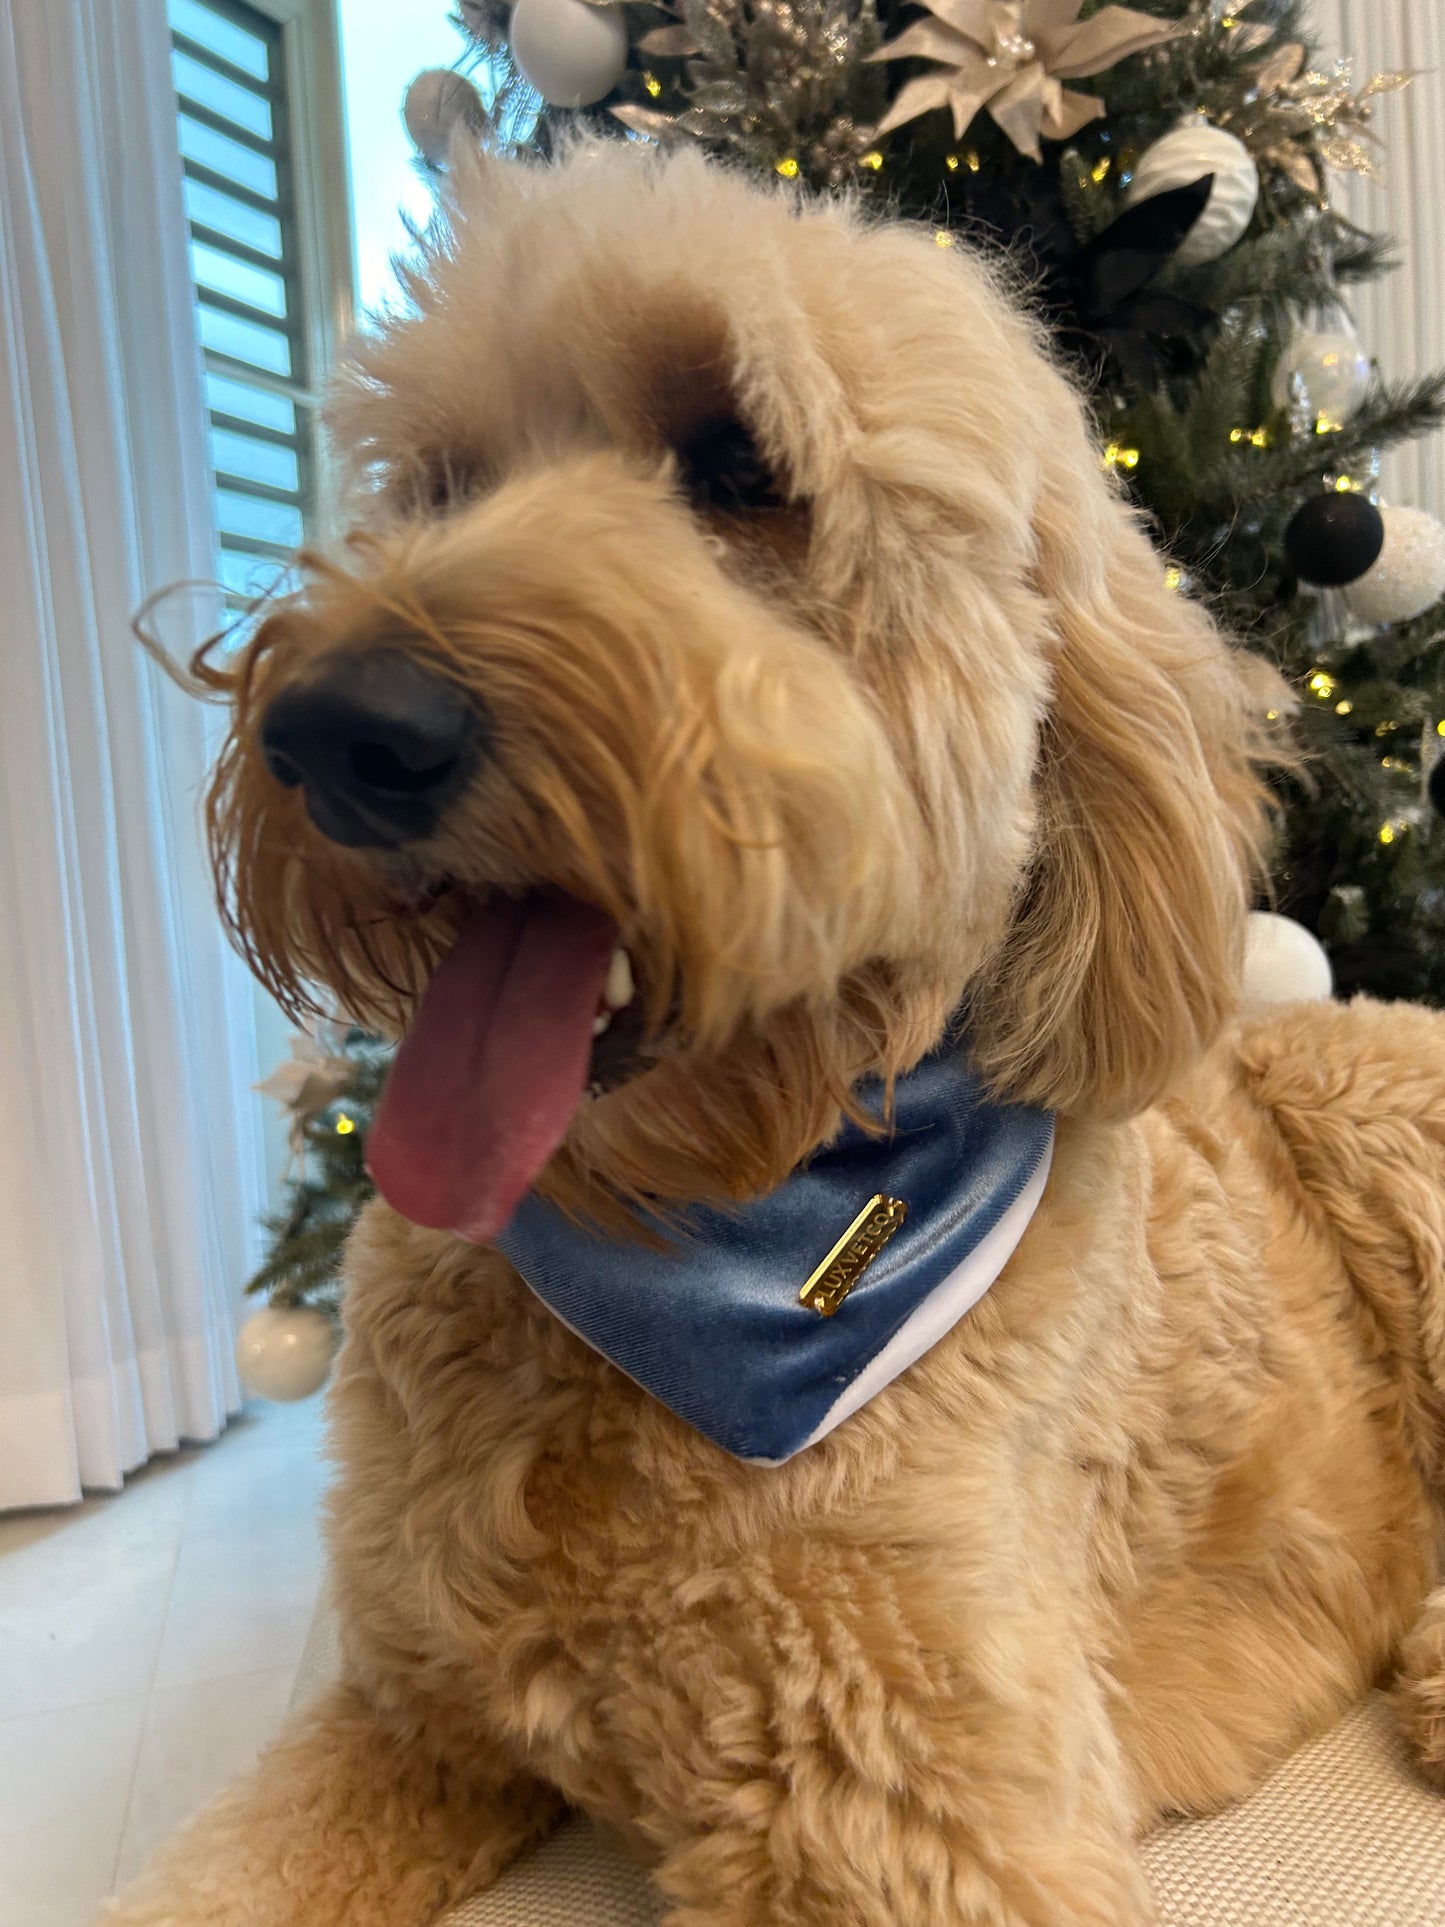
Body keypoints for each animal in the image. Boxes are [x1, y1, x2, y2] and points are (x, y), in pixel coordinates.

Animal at [107, 150, 1445, 1927]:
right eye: (444, 481)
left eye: (740, 462)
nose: (337, 729)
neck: (706, 1245)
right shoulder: (405, 1712)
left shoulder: (920, 1823)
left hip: (1380, 1111)